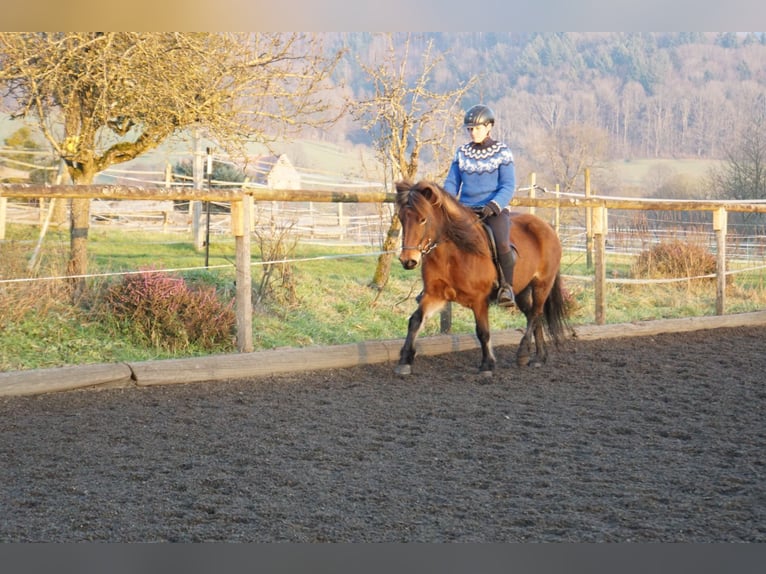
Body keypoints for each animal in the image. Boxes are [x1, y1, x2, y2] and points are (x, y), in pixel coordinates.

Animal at [400, 181, 568, 378]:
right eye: (401, 218)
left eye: (423, 219)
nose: (408, 260)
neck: (454, 254)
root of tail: (547, 227)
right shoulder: (435, 295)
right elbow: (415, 321)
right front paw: (405, 361)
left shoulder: (479, 300)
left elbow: (482, 331)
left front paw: (487, 365)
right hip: (522, 291)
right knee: (535, 317)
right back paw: (538, 358)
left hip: (542, 284)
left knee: (535, 314)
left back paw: (523, 353)